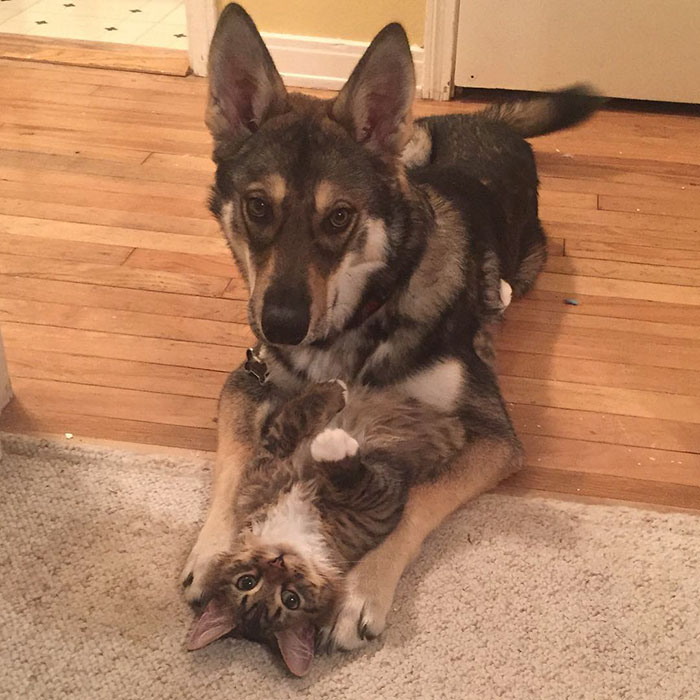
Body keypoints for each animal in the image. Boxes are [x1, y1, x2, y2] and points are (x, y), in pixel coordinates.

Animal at [185, 380, 464, 676]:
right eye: (290, 599)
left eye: (247, 581)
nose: (278, 562)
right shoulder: (378, 505)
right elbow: (347, 471)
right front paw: (333, 435)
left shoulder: (268, 469)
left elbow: (289, 425)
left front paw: (332, 391)